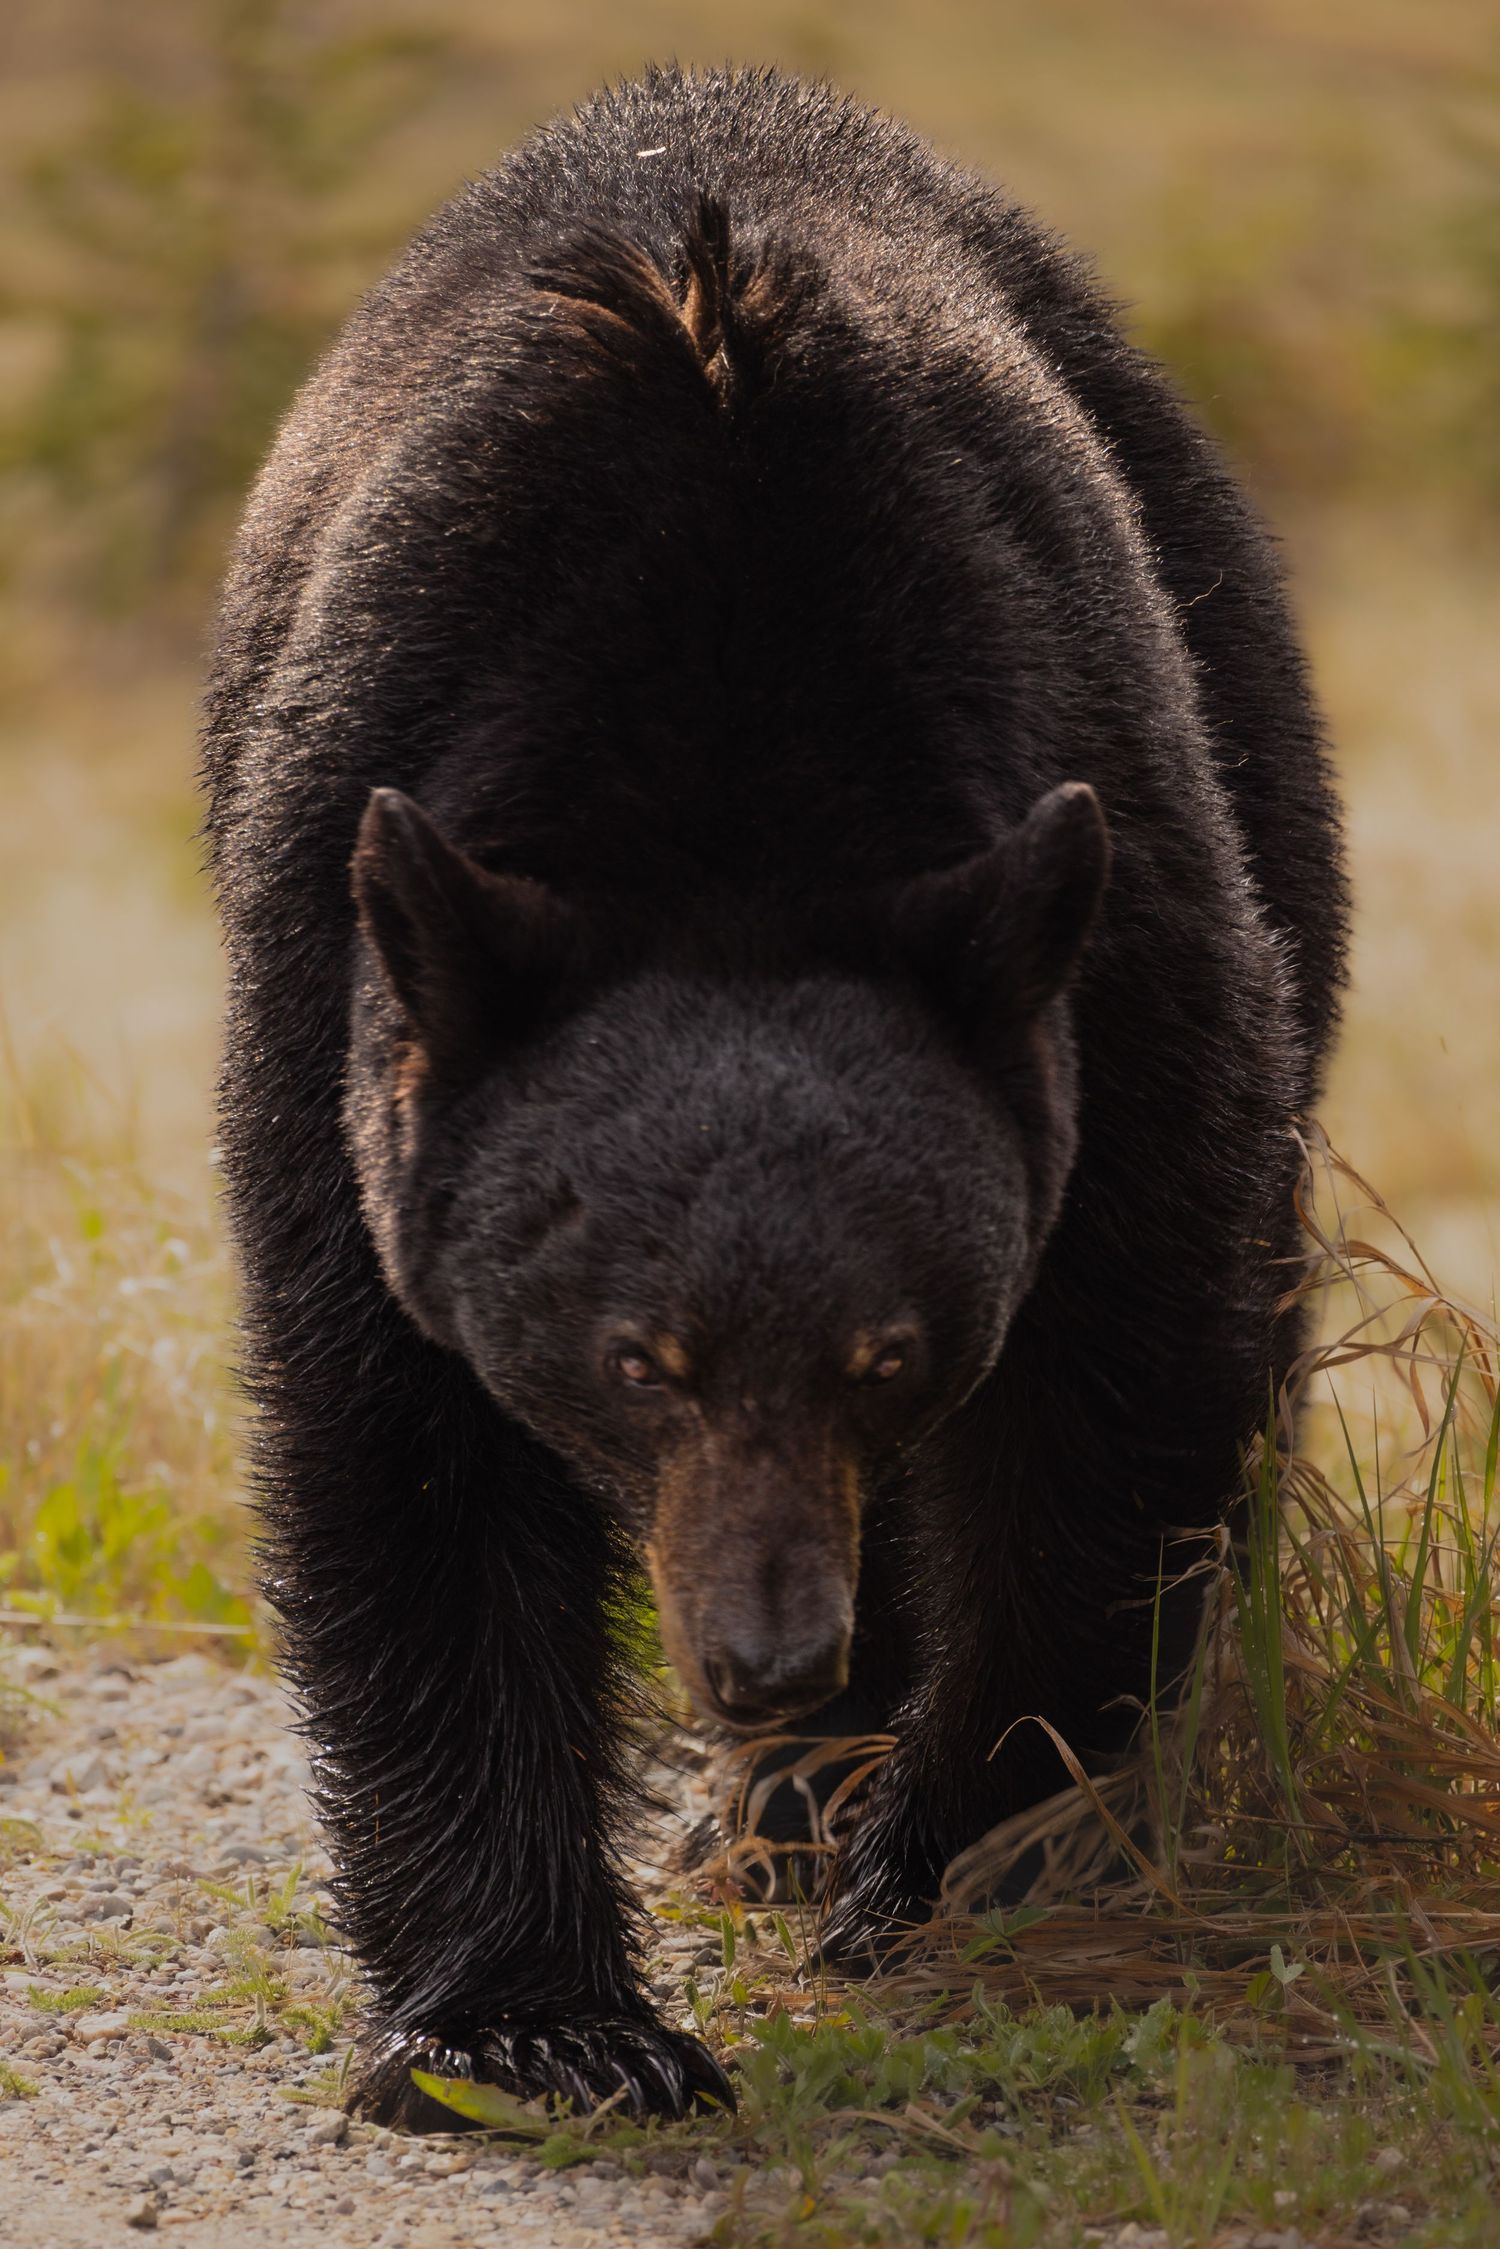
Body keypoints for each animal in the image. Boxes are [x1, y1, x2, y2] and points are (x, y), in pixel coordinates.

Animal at [202, 64, 1347, 2129]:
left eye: (893, 1350)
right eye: (635, 1357)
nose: (760, 1652)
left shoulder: (1107, 877)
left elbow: (1130, 1357)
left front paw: (952, 1857)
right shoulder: (346, 942)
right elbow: (399, 1438)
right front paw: (543, 2023)